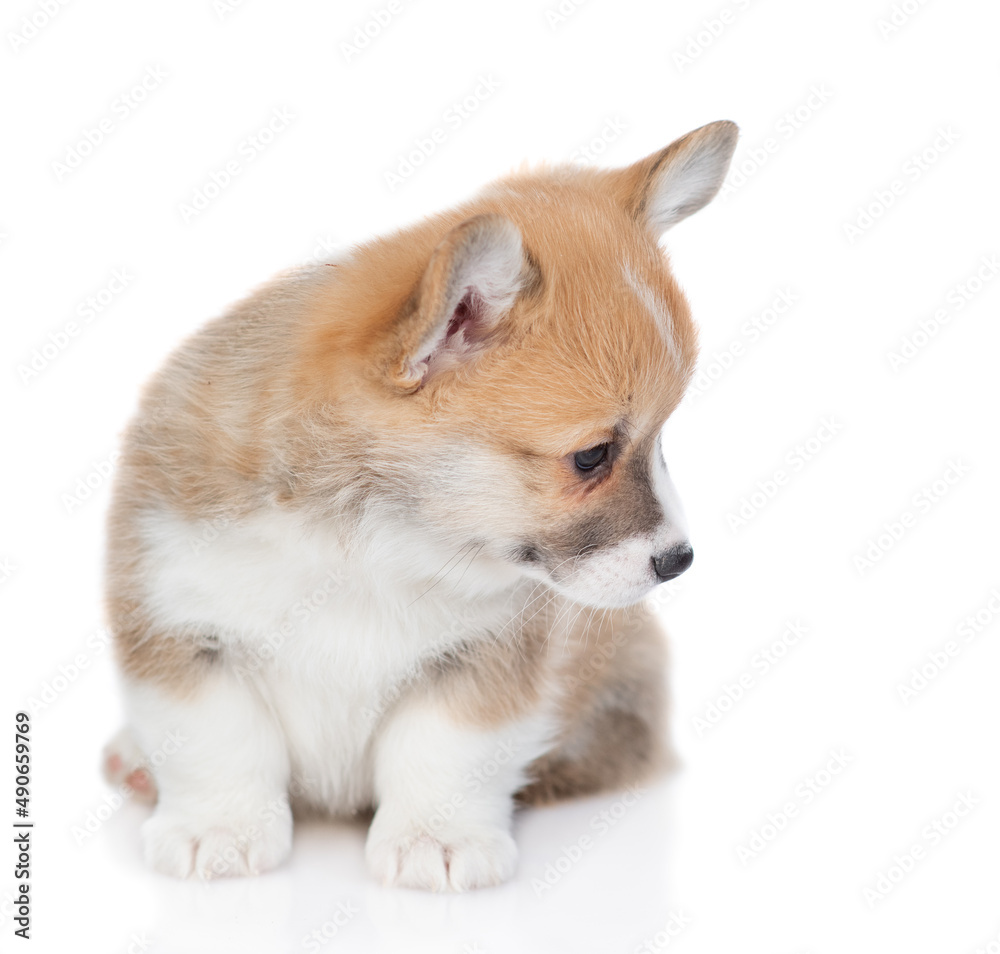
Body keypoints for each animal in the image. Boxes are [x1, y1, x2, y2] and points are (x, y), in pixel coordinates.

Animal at [101, 121, 740, 892]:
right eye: (592, 455)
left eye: (661, 442)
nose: (680, 560)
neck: (365, 541)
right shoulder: (182, 624)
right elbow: (216, 740)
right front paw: (218, 829)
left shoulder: (484, 661)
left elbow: (444, 753)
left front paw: (436, 840)